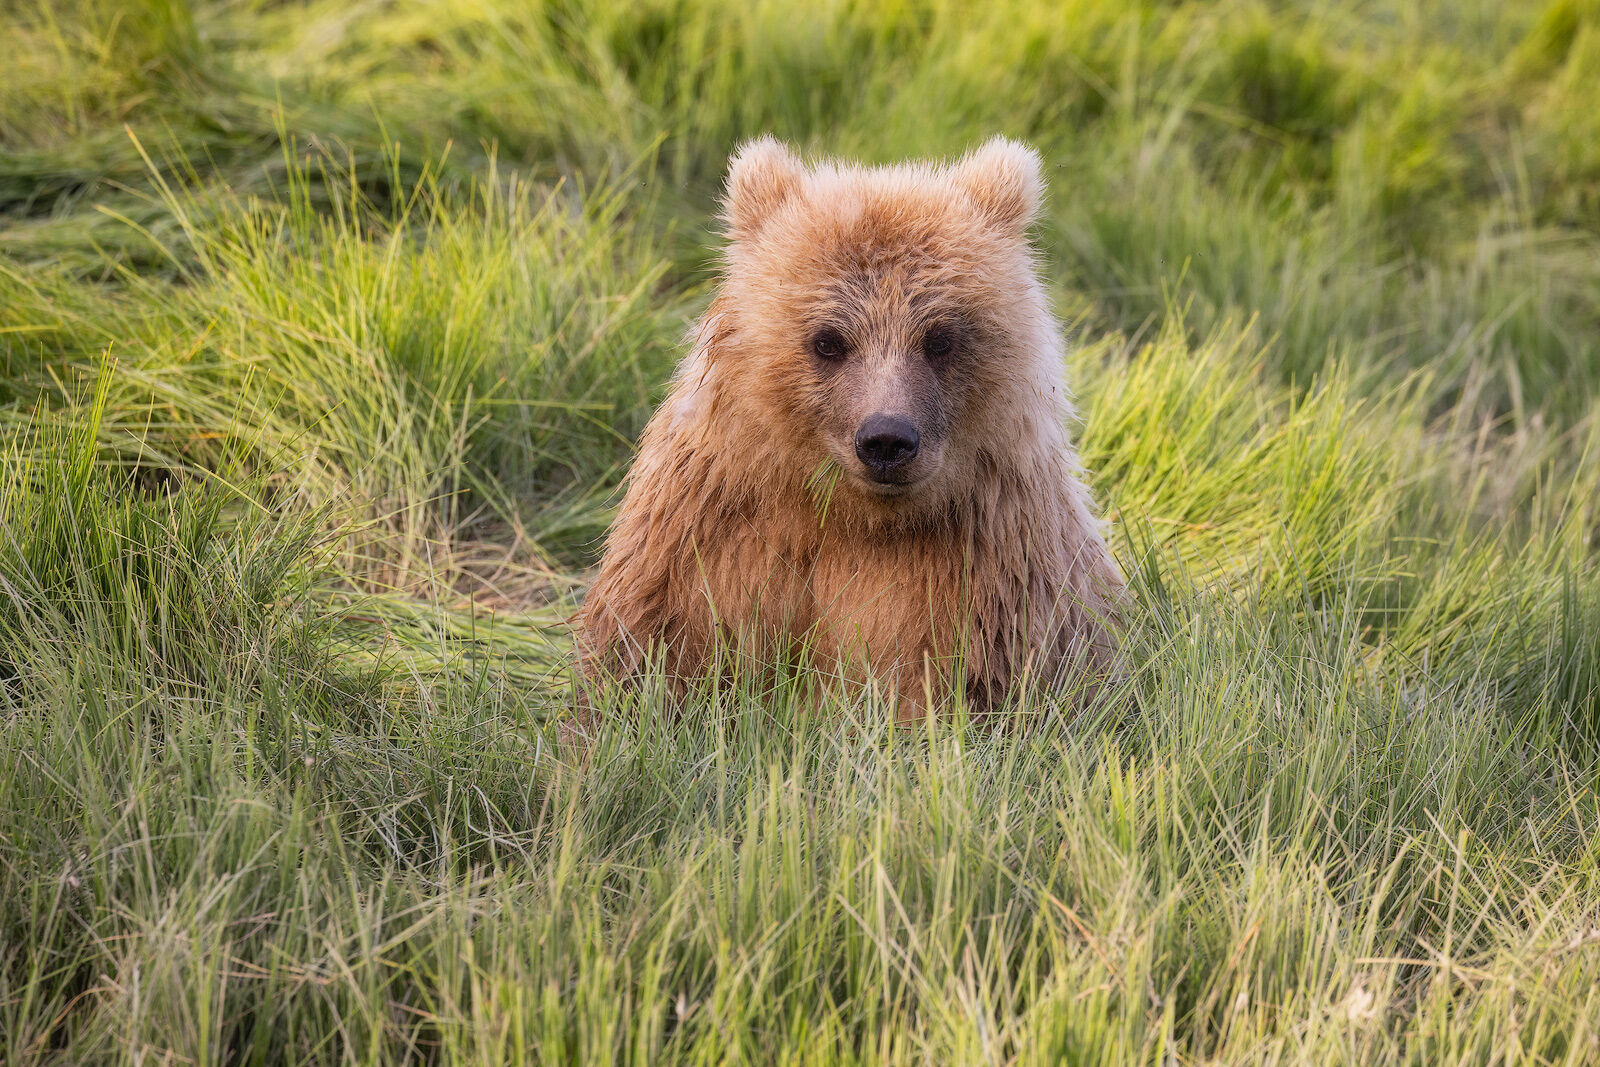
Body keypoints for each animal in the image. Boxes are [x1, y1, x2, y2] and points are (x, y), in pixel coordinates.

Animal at [576, 136, 1124, 718]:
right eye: (828, 341)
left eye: (940, 338)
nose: (886, 439)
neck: (859, 521)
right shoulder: (706, 545)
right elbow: (650, 656)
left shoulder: (1003, 585)